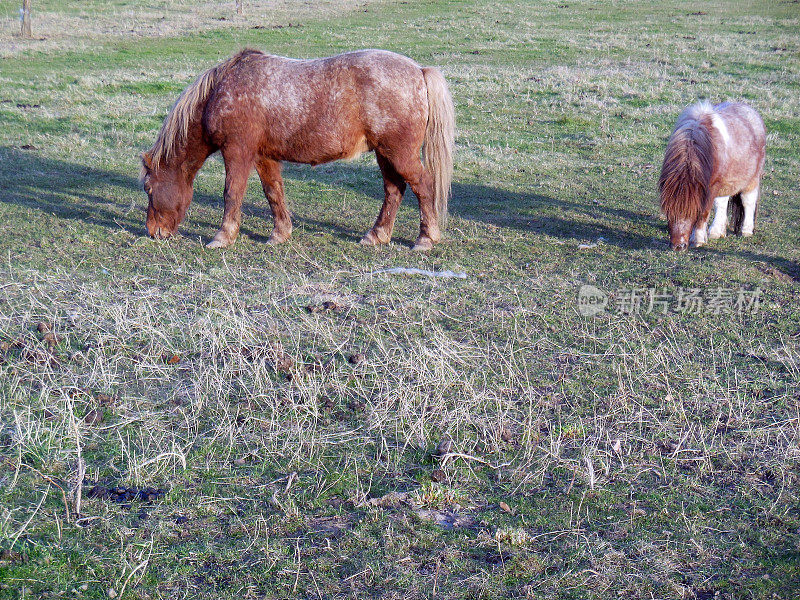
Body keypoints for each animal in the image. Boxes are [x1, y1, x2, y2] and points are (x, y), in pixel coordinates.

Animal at [141, 48, 454, 251]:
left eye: (148, 188)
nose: (154, 232)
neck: (223, 89)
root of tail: (419, 71)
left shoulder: (237, 151)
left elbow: (232, 192)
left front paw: (223, 236)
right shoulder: (263, 156)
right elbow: (273, 192)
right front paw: (280, 233)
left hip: (399, 153)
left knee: (423, 185)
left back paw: (426, 238)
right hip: (384, 153)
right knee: (393, 190)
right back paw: (377, 235)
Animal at [660, 101, 764, 251]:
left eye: (691, 212)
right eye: (668, 211)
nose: (678, 246)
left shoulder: (711, 187)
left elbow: (704, 212)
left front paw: (698, 239)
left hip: (752, 180)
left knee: (748, 201)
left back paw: (746, 231)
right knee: (722, 202)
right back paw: (716, 231)